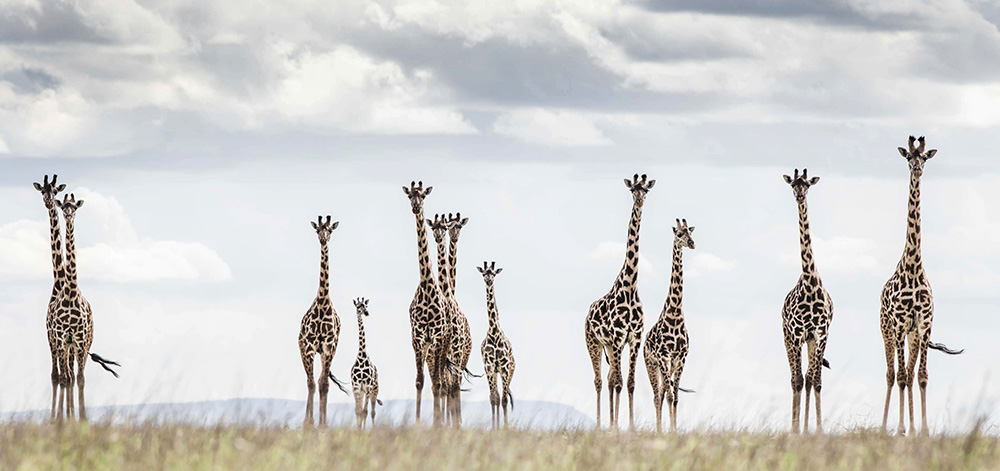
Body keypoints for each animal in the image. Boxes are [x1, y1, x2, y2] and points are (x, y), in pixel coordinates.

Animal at [584, 173, 655, 430]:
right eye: (632, 189)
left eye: (646, 189)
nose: (639, 200)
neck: (630, 286)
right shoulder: (616, 337)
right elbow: (619, 382)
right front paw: (616, 427)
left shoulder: (633, 337)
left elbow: (630, 382)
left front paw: (631, 427)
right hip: (594, 342)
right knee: (599, 380)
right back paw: (600, 425)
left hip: (611, 346)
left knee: (609, 377)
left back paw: (611, 422)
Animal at [881, 136, 963, 436]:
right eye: (908, 157)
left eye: (925, 157)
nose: (917, 168)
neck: (914, 267)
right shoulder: (900, 323)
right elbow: (902, 375)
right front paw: (902, 429)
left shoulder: (924, 324)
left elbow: (922, 376)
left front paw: (923, 431)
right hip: (887, 330)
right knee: (892, 373)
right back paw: (888, 427)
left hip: (912, 335)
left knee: (908, 370)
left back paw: (911, 426)